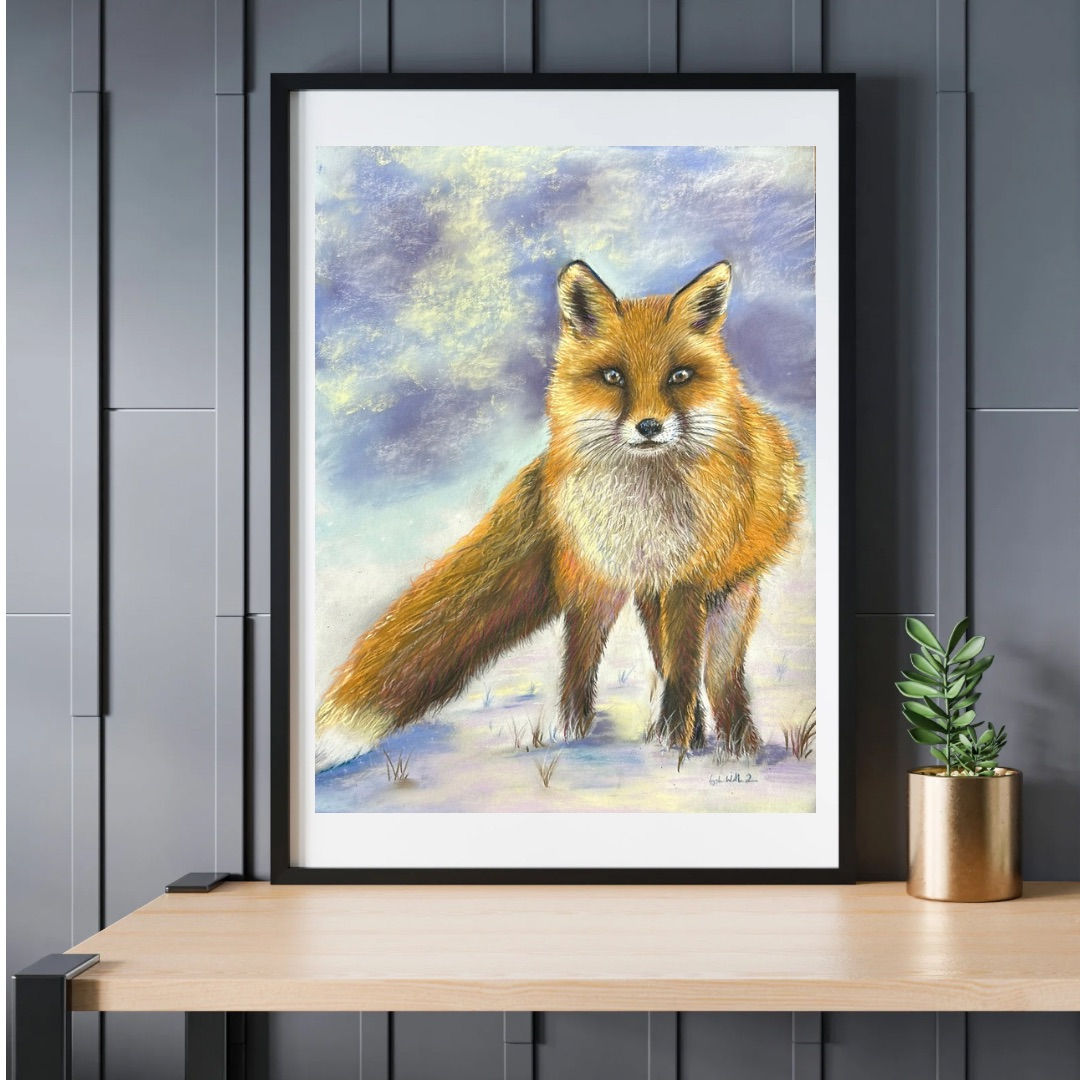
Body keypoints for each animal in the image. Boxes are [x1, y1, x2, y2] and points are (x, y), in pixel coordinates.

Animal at [315, 259, 805, 772]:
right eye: (613, 376)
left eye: (680, 376)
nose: (649, 427)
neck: (645, 507)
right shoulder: (653, 584)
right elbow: (670, 667)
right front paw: (675, 744)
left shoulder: (686, 580)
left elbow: (688, 671)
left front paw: (682, 742)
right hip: (599, 589)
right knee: (582, 659)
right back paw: (575, 736)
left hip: (724, 597)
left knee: (721, 675)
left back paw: (735, 743)